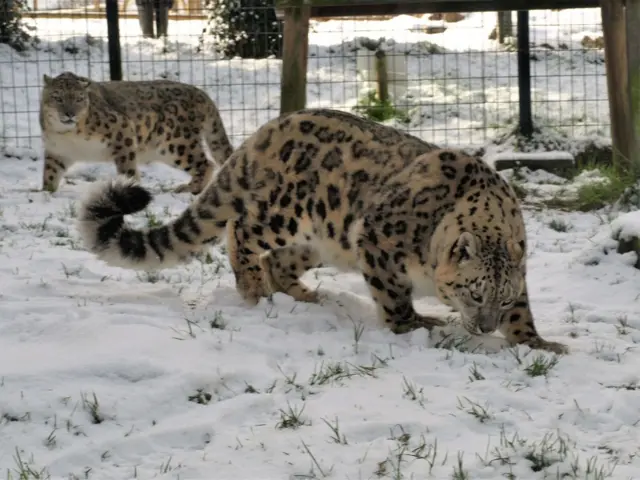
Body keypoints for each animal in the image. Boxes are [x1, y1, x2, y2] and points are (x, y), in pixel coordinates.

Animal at [76, 109, 568, 356]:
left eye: (504, 296)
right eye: (474, 291)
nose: (486, 327)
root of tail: (264, 132)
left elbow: (526, 315)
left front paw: (538, 343)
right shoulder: (378, 240)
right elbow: (393, 296)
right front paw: (414, 325)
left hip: (321, 240)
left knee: (279, 261)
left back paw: (307, 296)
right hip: (284, 214)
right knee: (242, 234)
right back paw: (255, 290)